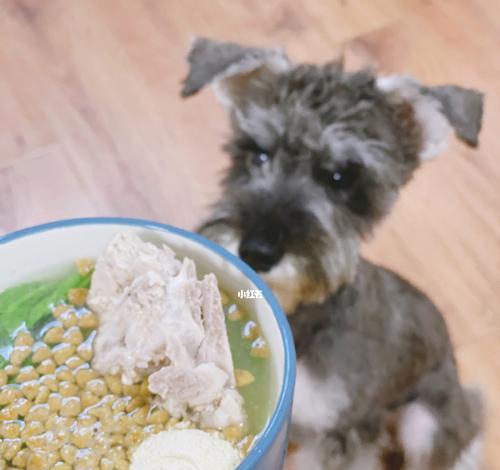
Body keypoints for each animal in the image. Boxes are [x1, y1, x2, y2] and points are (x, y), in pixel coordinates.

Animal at [183, 37, 484, 470]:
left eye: (342, 179)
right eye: (257, 154)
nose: (257, 249)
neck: (299, 317)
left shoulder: (340, 433)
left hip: (423, 421)